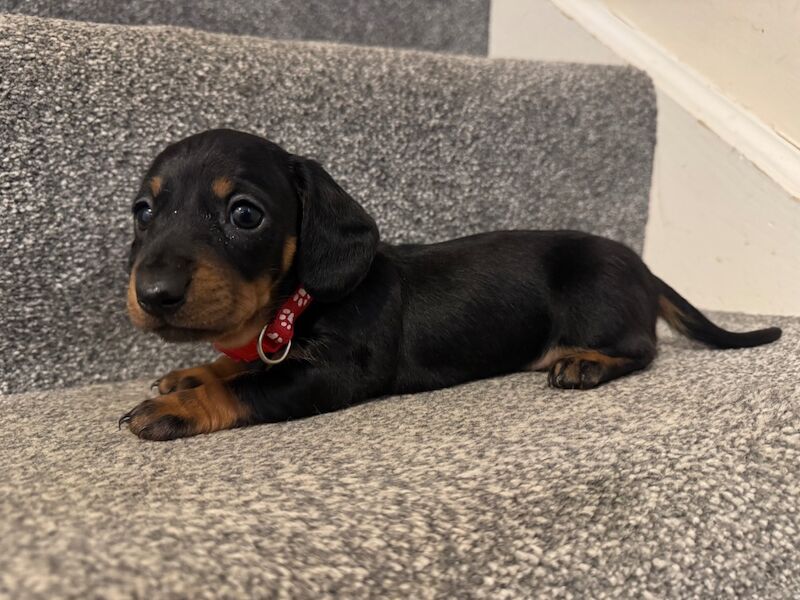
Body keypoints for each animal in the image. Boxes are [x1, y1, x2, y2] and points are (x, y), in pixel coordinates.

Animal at [119, 129, 780, 440]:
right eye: (143, 211)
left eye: (245, 215)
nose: (152, 292)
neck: (295, 306)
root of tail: (642, 267)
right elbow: (236, 367)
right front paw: (193, 372)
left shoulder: (330, 375)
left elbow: (247, 386)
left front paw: (177, 405)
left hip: (595, 297)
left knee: (643, 348)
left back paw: (585, 363)